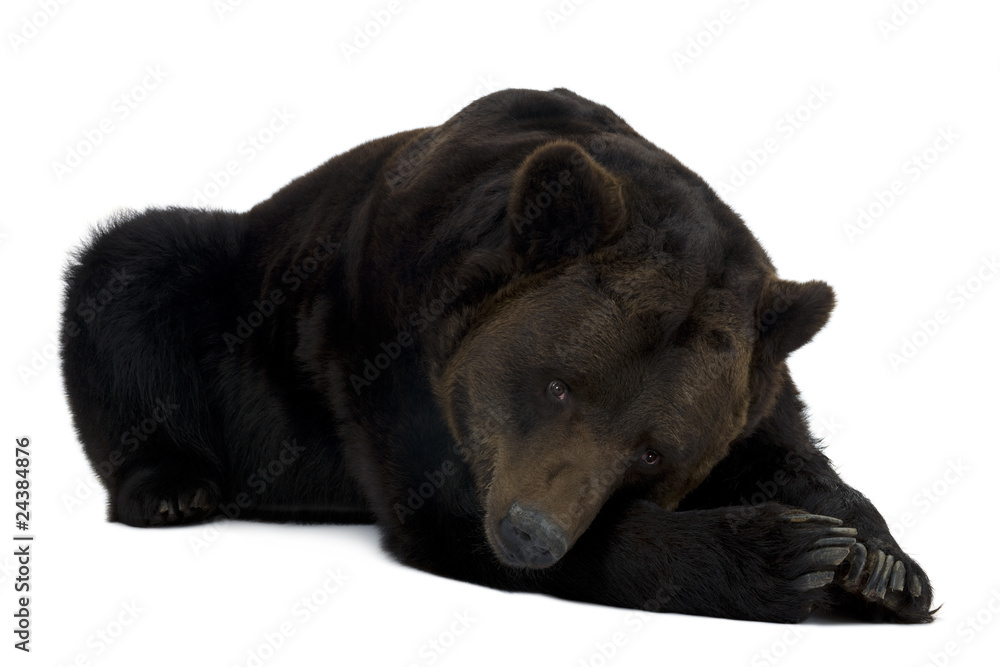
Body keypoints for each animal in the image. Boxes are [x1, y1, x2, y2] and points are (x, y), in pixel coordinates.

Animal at [61, 87, 934, 624]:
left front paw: (880, 563)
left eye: (653, 450)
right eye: (556, 385)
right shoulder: (384, 337)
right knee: (129, 268)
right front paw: (788, 553)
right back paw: (172, 486)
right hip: (229, 284)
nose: (530, 531)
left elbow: (791, 451)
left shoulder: (756, 373)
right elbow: (449, 509)